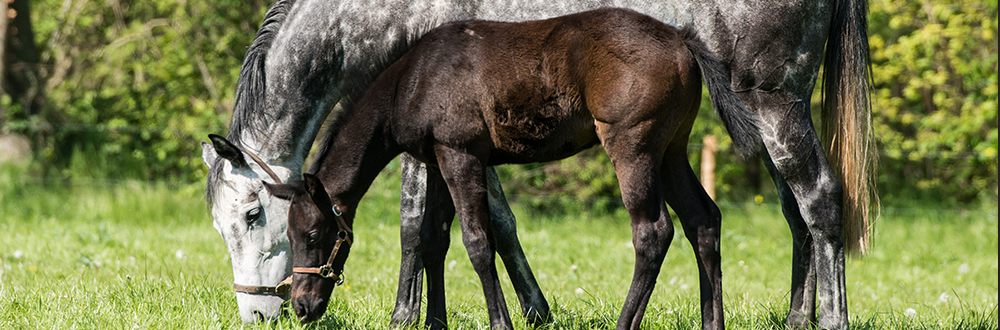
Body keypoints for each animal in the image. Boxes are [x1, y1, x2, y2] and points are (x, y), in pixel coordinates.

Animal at [203, 1, 876, 328]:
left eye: (313, 232)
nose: (295, 307)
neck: (415, 72)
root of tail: (683, 42)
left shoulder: (460, 154)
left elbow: (474, 239)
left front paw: (500, 319)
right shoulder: (440, 158)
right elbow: (433, 237)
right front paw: (435, 321)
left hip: (646, 145)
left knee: (665, 229)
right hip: (674, 150)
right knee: (709, 221)